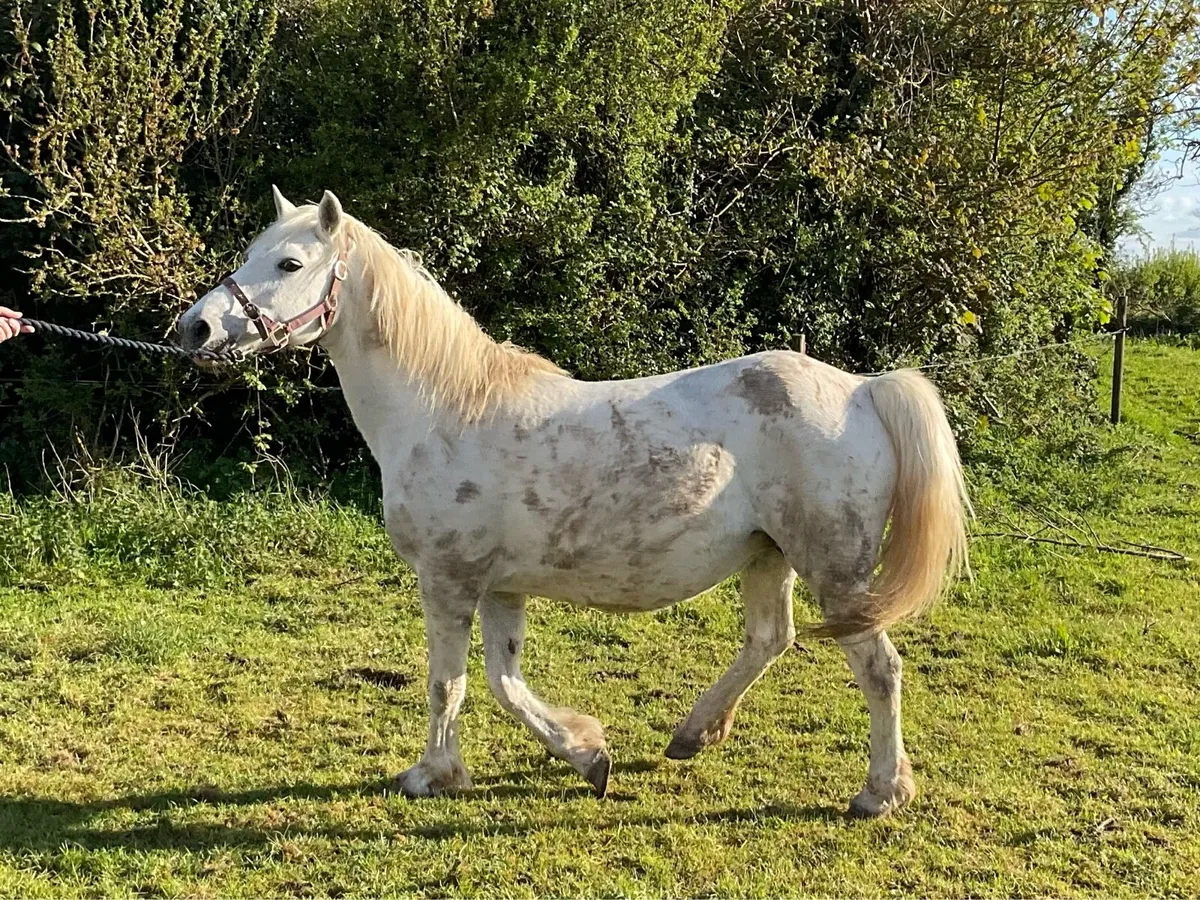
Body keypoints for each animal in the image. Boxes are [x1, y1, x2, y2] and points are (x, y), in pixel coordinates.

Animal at [178, 187, 970, 817]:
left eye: (289, 264)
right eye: (251, 253)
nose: (196, 328)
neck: (442, 410)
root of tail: (863, 389)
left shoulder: (448, 580)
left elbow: (447, 685)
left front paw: (432, 775)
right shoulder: (499, 587)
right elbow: (502, 683)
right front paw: (588, 755)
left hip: (833, 568)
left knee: (878, 669)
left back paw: (878, 793)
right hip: (768, 556)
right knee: (769, 639)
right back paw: (693, 735)